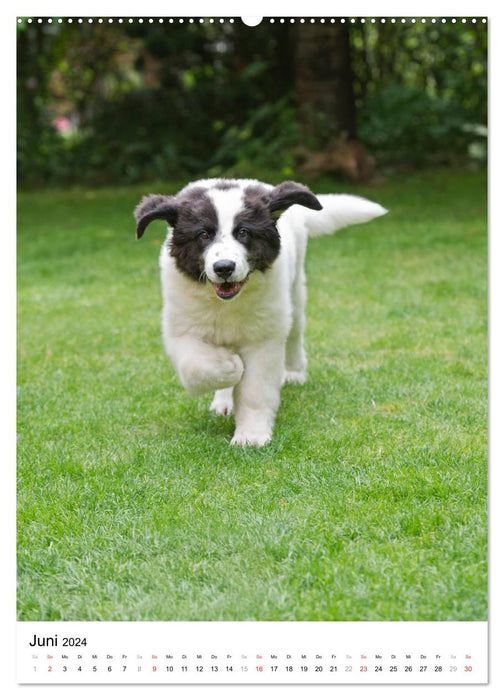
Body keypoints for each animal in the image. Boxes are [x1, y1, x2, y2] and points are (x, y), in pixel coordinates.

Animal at [134, 178, 386, 446]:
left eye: (243, 232)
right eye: (203, 234)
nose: (224, 268)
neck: (227, 303)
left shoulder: (264, 337)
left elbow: (255, 390)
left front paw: (251, 436)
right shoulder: (182, 327)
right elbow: (197, 367)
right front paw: (230, 368)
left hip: (294, 296)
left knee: (294, 336)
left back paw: (294, 373)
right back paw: (224, 399)